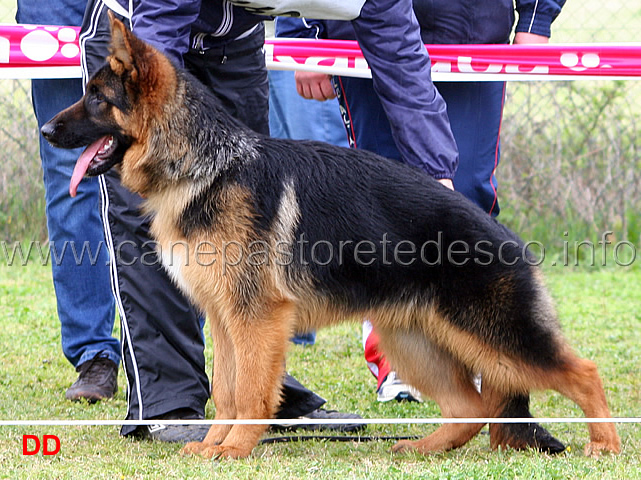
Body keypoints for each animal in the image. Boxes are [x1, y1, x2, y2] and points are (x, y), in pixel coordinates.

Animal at [41, 13, 620, 460]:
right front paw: (213, 445)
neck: (207, 165)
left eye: (97, 99)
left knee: (583, 372)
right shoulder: (226, 321)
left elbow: (250, 393)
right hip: (412, 341)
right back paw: (423, 448)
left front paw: (234, 449)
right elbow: (227, 390)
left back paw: (605, 445)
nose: (45, 131)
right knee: (472, 409)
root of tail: (502, 232)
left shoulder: (257, 319)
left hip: (495, 338)